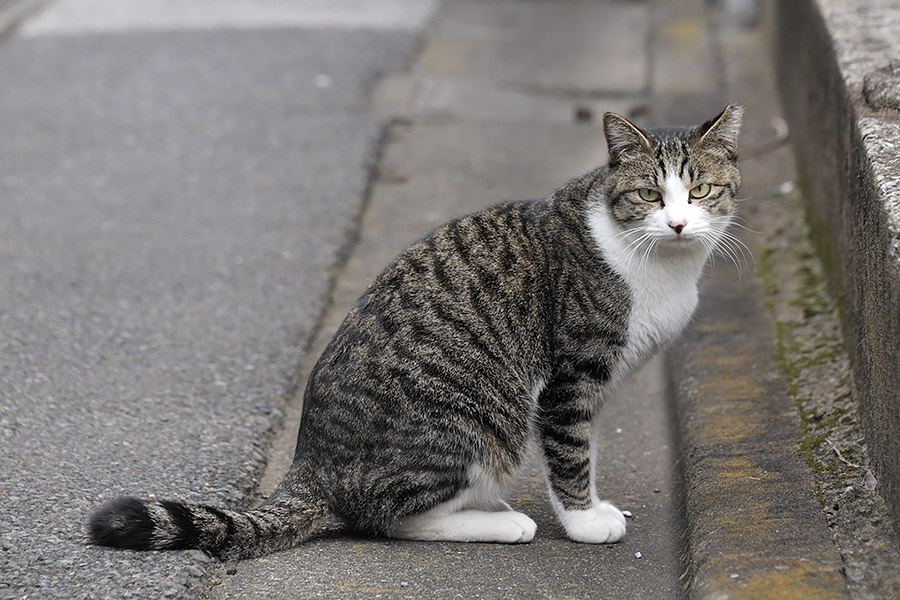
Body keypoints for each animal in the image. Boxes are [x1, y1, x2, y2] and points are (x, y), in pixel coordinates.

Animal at [88, 105, 740, 560]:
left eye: (700, 191)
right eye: (650, 194)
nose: (678, 223)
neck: (663, 265)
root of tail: (310, 461)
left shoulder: (594, 385)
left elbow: (591, 450)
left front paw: (595, 504)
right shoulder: (573, 379)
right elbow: (572, 453)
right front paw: (583, 520)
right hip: (476, 420)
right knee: (390, 519)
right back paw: (502, 520)